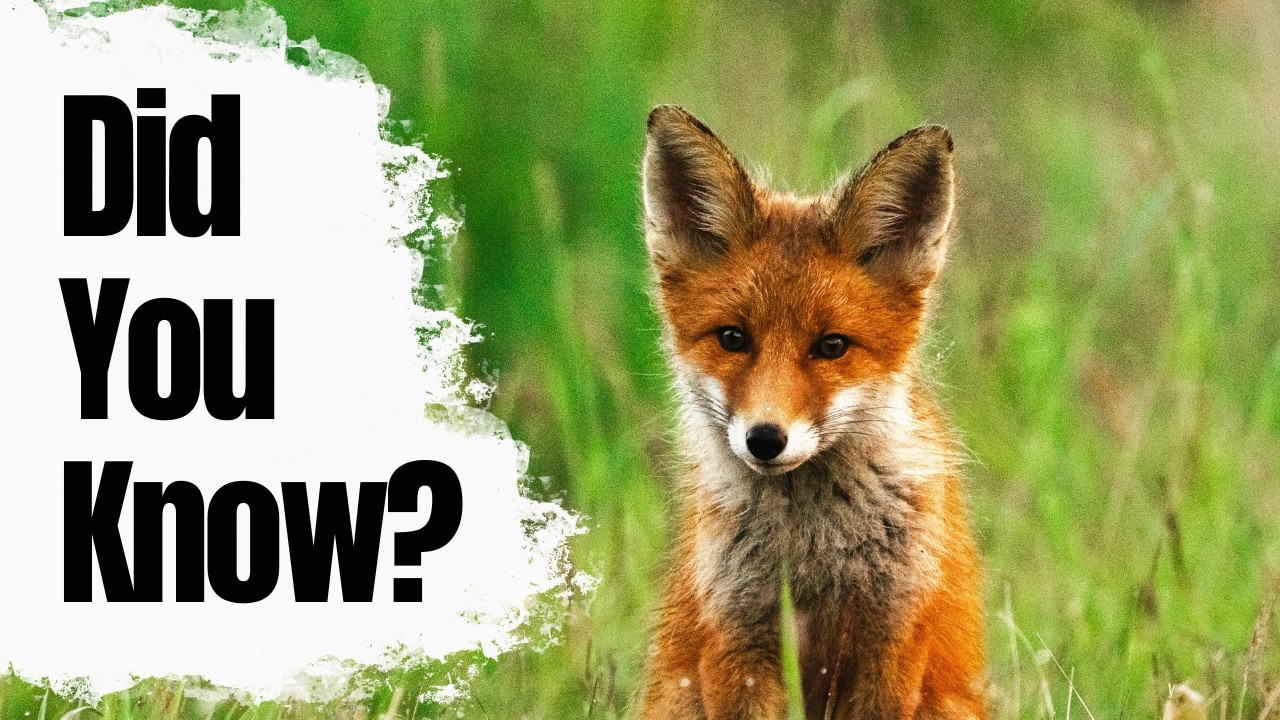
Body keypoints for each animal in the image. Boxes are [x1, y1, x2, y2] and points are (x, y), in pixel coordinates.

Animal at [638, 104, 988, 720]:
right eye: (733, 338)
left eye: (832, 346)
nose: (764, 439)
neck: (811, 550)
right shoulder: (739, 643)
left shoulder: (891, 643)